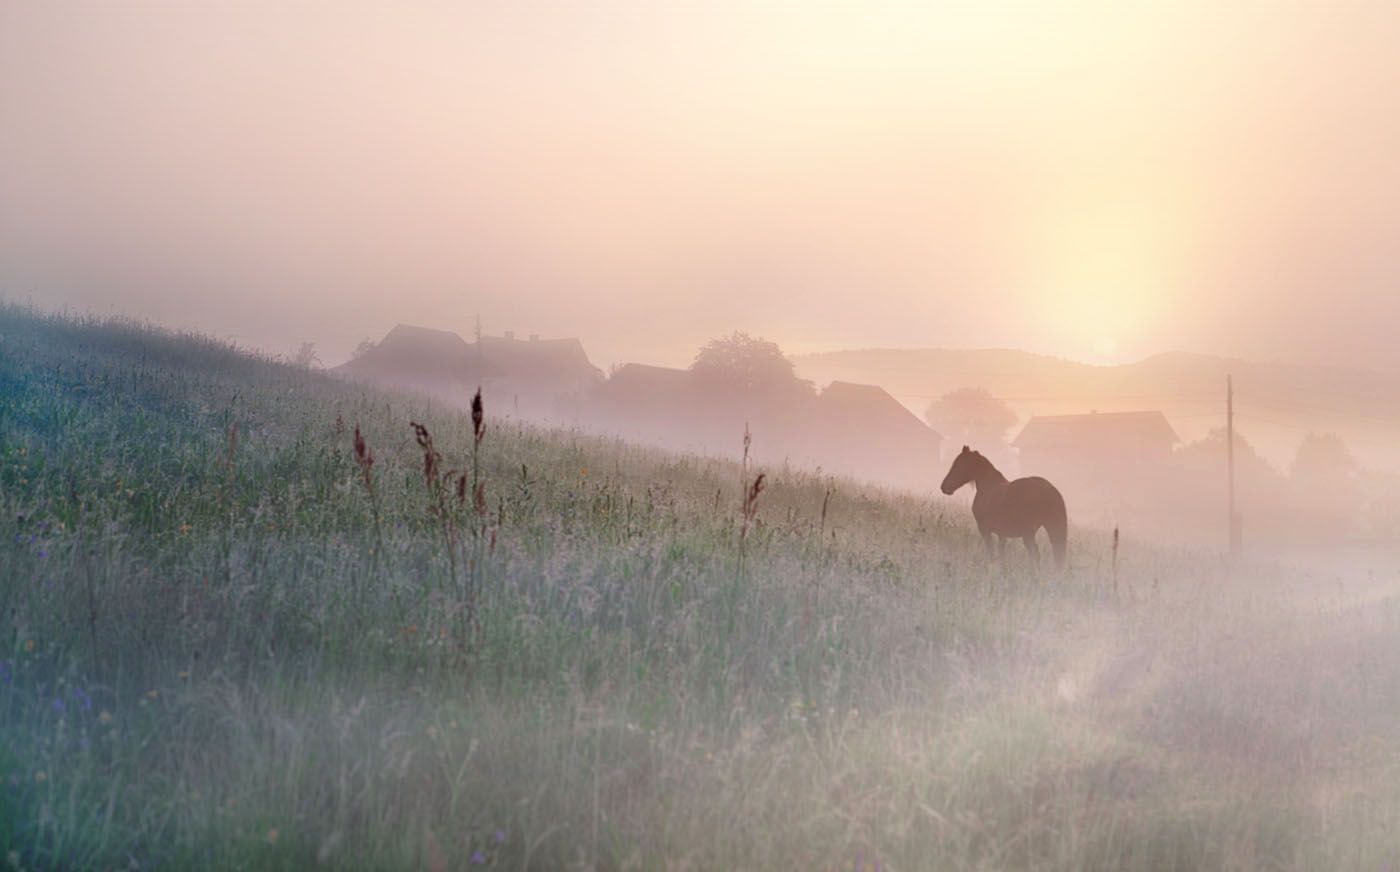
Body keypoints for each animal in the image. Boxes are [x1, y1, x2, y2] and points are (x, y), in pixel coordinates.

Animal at [940, 447, 1069, 571]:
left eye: (958, 464)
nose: (944, 487)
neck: (988, 487)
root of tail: (1048, 489)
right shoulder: (1002, 534)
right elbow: (1001, 554)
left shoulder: (985, 530)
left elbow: (992, 554)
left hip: (1028, 533)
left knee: (1035, 555)